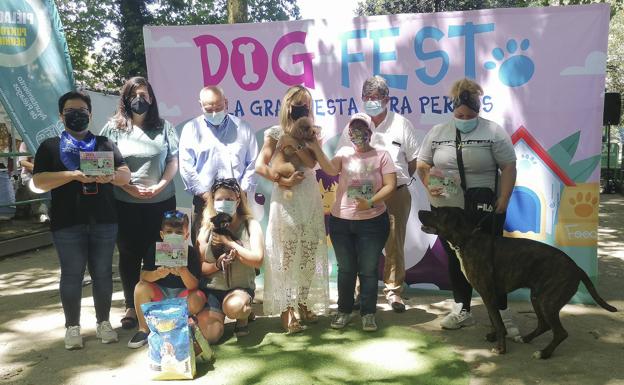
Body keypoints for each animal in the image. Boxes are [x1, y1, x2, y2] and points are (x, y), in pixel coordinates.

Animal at [416, 206, 616, 358]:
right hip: (538, 297)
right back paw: (525, 339)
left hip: (547, 302)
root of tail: (576, 267)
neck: (467, 239)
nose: (419, 211)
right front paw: (495, 336)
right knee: (543, 325)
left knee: (560, 332)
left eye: (436, 212)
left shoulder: (488, 293)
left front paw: (501, 348)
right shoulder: (491, 294)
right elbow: (494, 319)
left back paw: (544, 353)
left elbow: (497, 321)